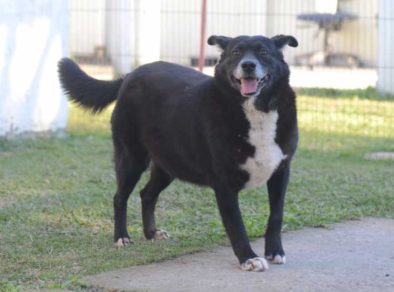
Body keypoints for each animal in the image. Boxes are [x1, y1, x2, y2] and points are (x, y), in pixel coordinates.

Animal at [58, 34, 298, 272]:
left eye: (264, 52)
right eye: (236, 52)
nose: (248, 65)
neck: (256, 112)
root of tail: (129, 76)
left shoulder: (281, 173)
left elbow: (276, 215)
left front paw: (275, 251)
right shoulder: (224, 183)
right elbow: (236, 224)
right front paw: (248, 258)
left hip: (169, 165)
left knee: (147, 194)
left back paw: (151, 233)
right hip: (131, 159)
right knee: (119, 198)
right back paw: (121, 237)